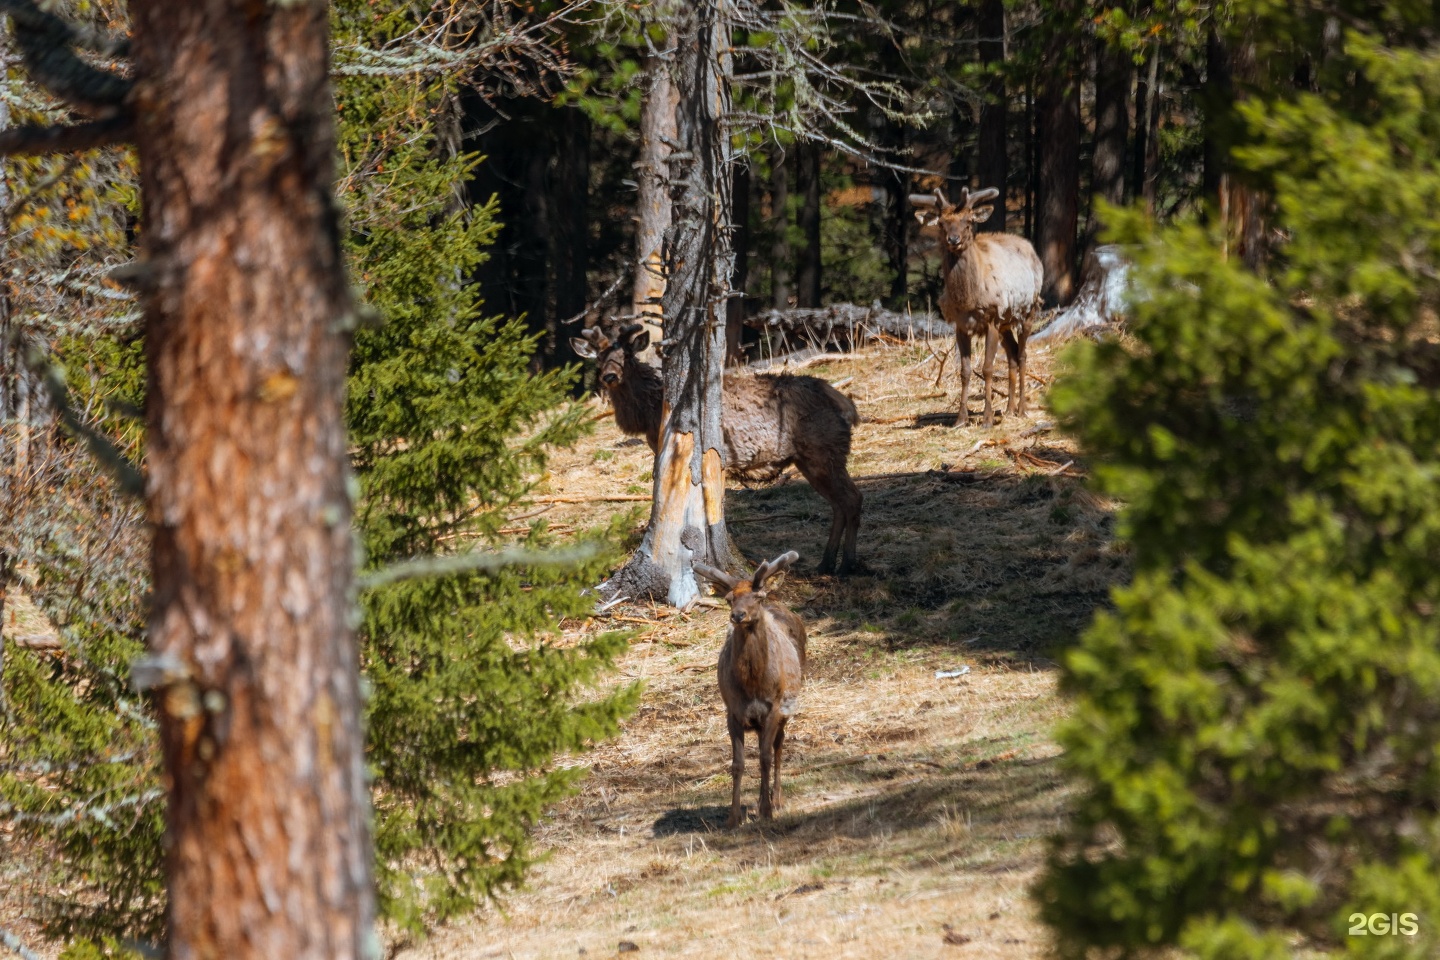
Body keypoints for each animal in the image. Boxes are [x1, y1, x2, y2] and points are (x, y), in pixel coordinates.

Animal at [573, 322, 864, 578]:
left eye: (627, 356)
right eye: (599, 357)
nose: (609, 376)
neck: (649, 415)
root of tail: (848, 406)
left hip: (824, 453)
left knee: (853, 498)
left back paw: (847, 565)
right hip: (810, 460)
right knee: (839, 504)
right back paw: (826, 564)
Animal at [696, 552, 812, 829]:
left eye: (757, 597)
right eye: (729, 598)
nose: (738, 615)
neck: (752, 685)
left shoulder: (773, 708)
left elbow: (765, 757)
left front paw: (766, 811)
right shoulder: (732, 711)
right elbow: (737, 763)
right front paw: (733, 816)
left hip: (786, 707)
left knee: (778, 746)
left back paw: (776, 799)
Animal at [910, 185, 1048, 426]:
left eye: (968, 221)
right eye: (941, 223)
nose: (953, 239)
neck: (968, 299)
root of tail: (1029, 247)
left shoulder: (991, 318)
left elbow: (987, 368)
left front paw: (986, 419)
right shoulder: (961, 325)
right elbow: (965, 371)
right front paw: (960, 419)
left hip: (1028, 310)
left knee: (1022, 355)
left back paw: (1022, 409)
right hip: (1006, 322)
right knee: (1012, 354)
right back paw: (1009, 409)